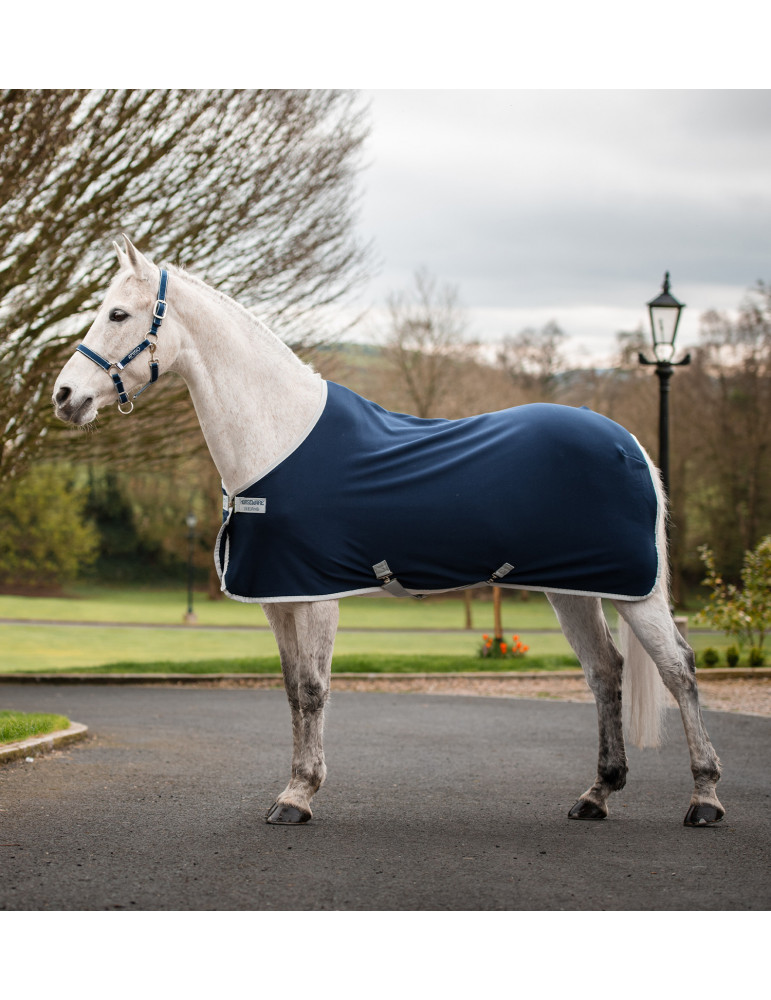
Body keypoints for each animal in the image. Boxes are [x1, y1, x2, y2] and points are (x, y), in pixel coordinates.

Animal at [52, 237, 724, 828]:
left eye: (118, 313)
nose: (64, 395)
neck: (279, 435)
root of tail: (630, 443)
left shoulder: (315, 594)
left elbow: (314, 690)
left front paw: (299, 797)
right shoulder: (279, 597)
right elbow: (291, 691)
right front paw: (293, 787)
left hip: (636, 591)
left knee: (679, 669)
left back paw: (705, 799)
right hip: (574, 591)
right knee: (606, 672)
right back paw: (597, 794)